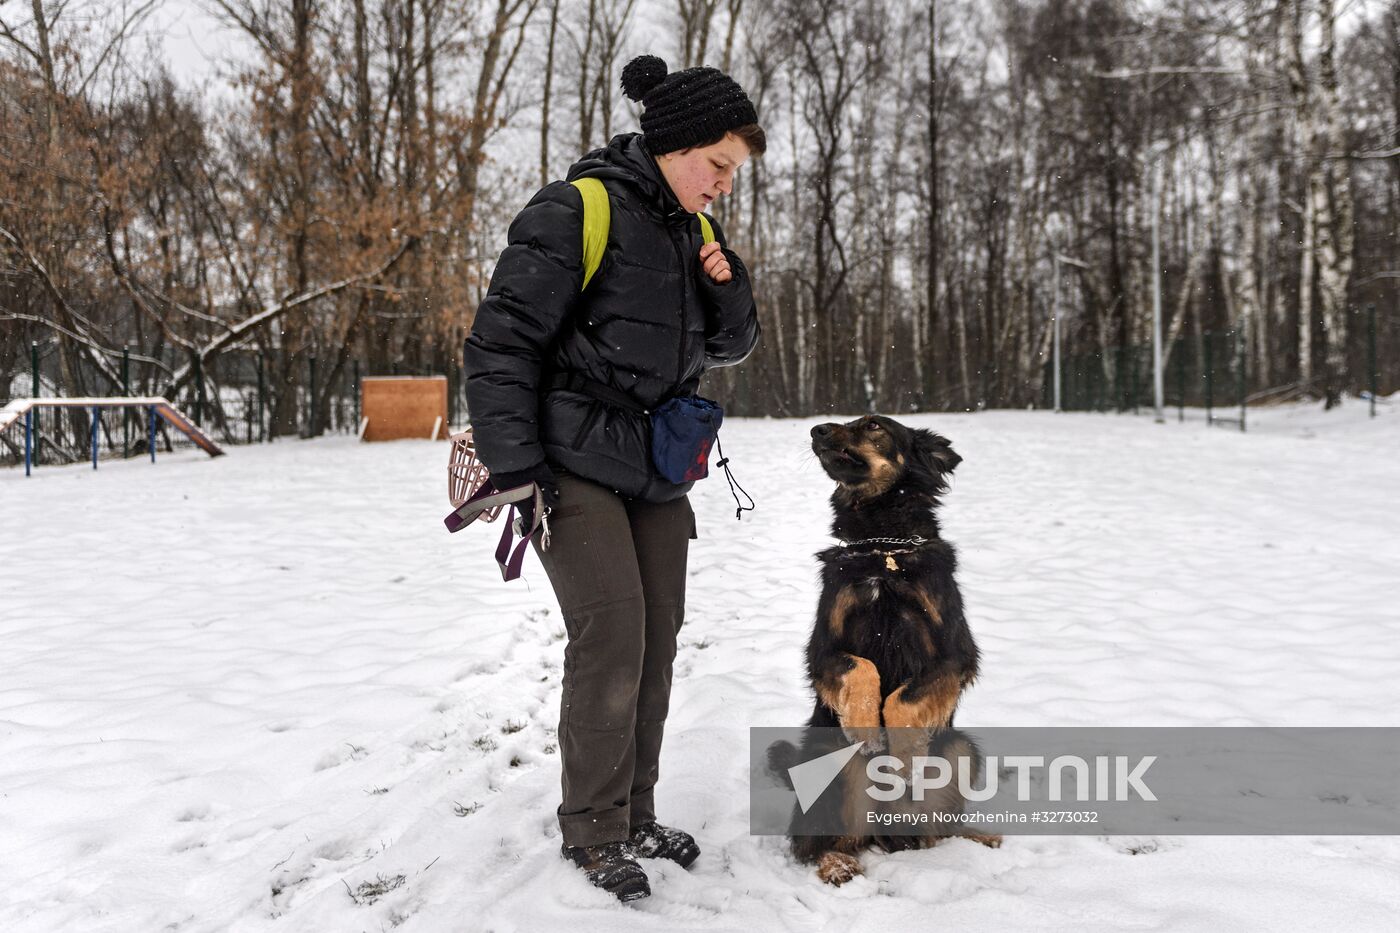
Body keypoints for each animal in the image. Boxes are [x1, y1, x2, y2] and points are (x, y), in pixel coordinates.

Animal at [789, 417, 996, 885]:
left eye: (874, 426)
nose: (817, 430)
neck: (884, 547)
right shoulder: (822, 650)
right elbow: (861, 667)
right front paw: (868, 727)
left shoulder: (956, 654)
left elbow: (905, 698)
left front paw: (903, 755)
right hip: (837, 763)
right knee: (822, 843)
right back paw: (836, 863)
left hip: (959, 750)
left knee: (937, 831)